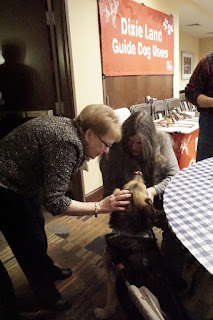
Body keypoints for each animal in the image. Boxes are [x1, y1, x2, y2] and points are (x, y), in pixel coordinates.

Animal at [95, 172, 188, 320]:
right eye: (130, 183)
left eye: (143, 186)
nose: (138, 173)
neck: (131, 230)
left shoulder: (112, 275)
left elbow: (110, 302)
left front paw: (102, 312)